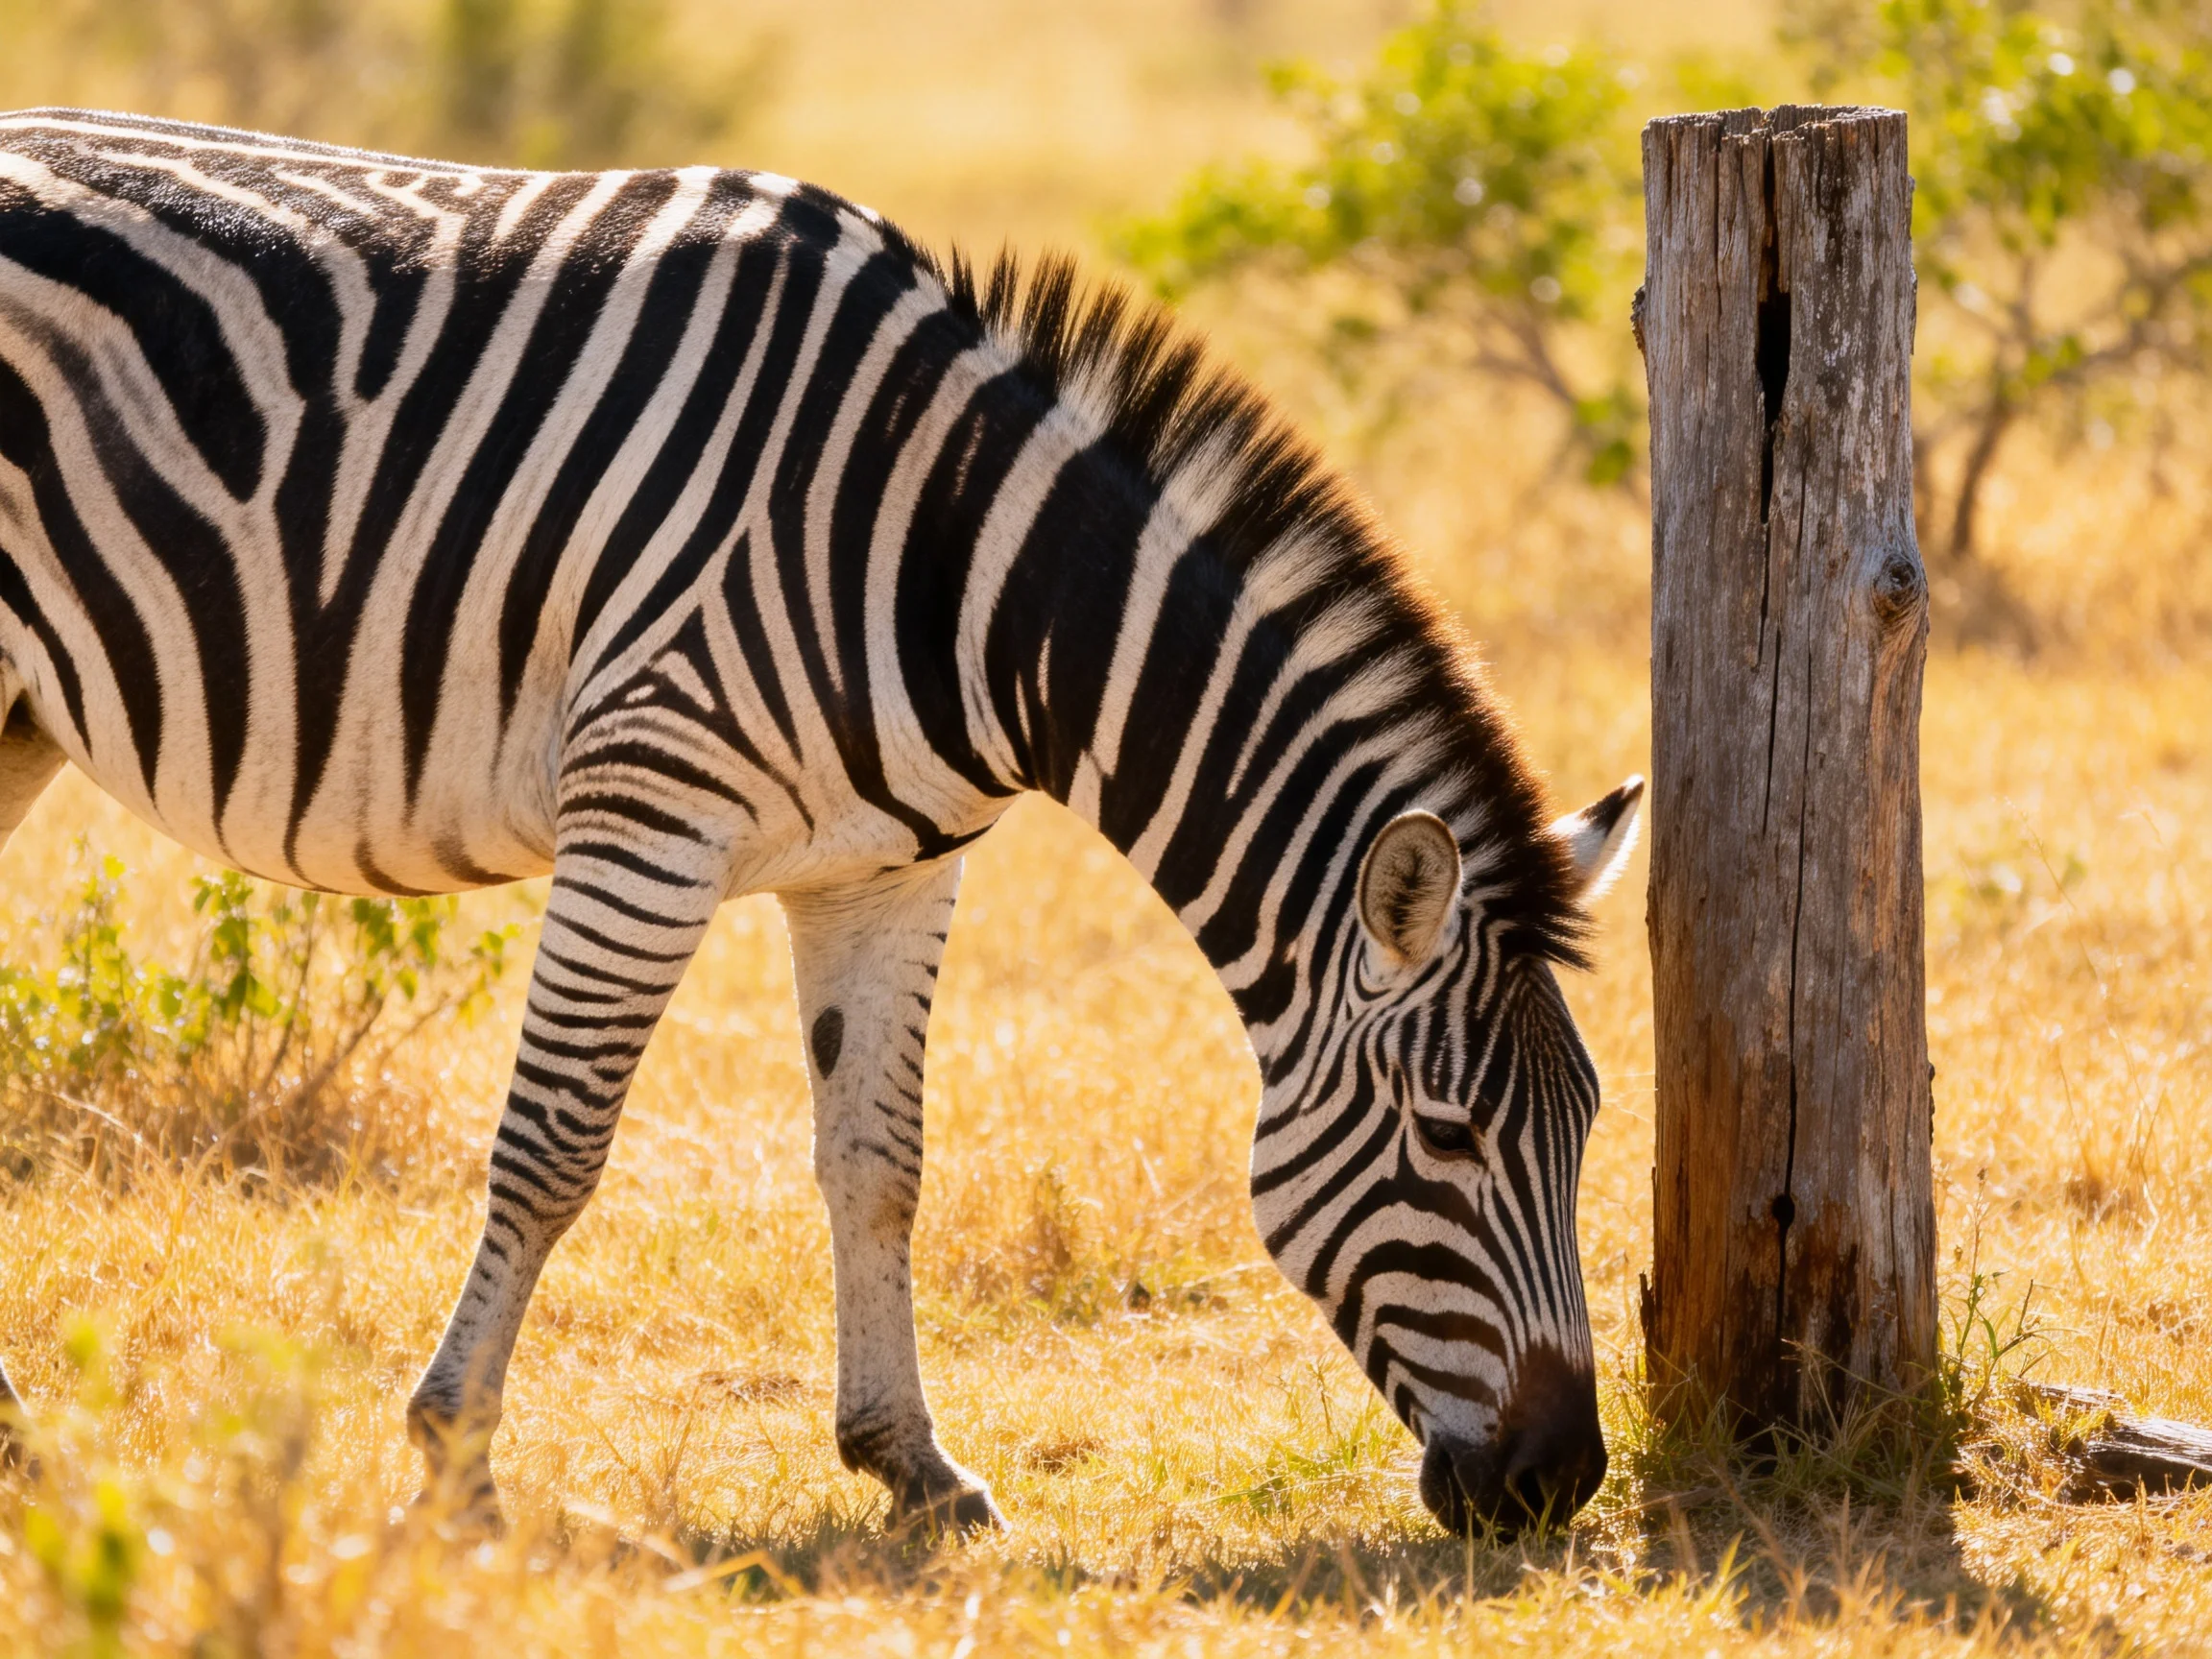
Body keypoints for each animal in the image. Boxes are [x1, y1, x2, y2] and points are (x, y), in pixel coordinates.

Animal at [0, 109, 1643, 1535]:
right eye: (1447, 1136)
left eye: (1585, 1131)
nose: (1560, 1482)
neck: (955, 563)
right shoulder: (647, 813)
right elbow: (552, 1150)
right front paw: (455, 1466)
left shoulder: (889, 872)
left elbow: (879, 1160)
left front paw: (909, 1462)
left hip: (17, 716)